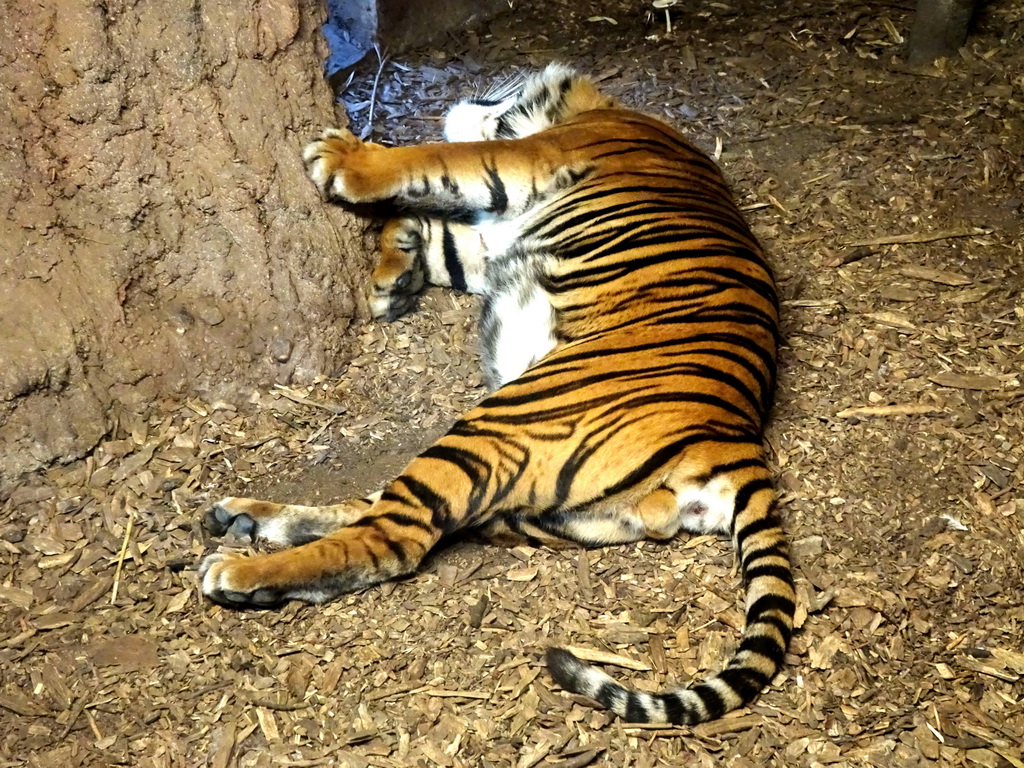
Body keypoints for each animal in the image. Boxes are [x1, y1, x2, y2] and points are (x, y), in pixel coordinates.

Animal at [197, 61, 790, 729]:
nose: (474, 92)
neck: (597, 109)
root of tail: (736, 443)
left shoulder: (525, 159)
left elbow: (431, 160)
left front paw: (343, 158)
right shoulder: (488, 238)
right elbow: (428, 230)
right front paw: (393, 279)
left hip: (498, 427)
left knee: (392, 538)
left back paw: (239, 567)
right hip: (532, 501)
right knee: (378, 510)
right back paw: (248, 519)